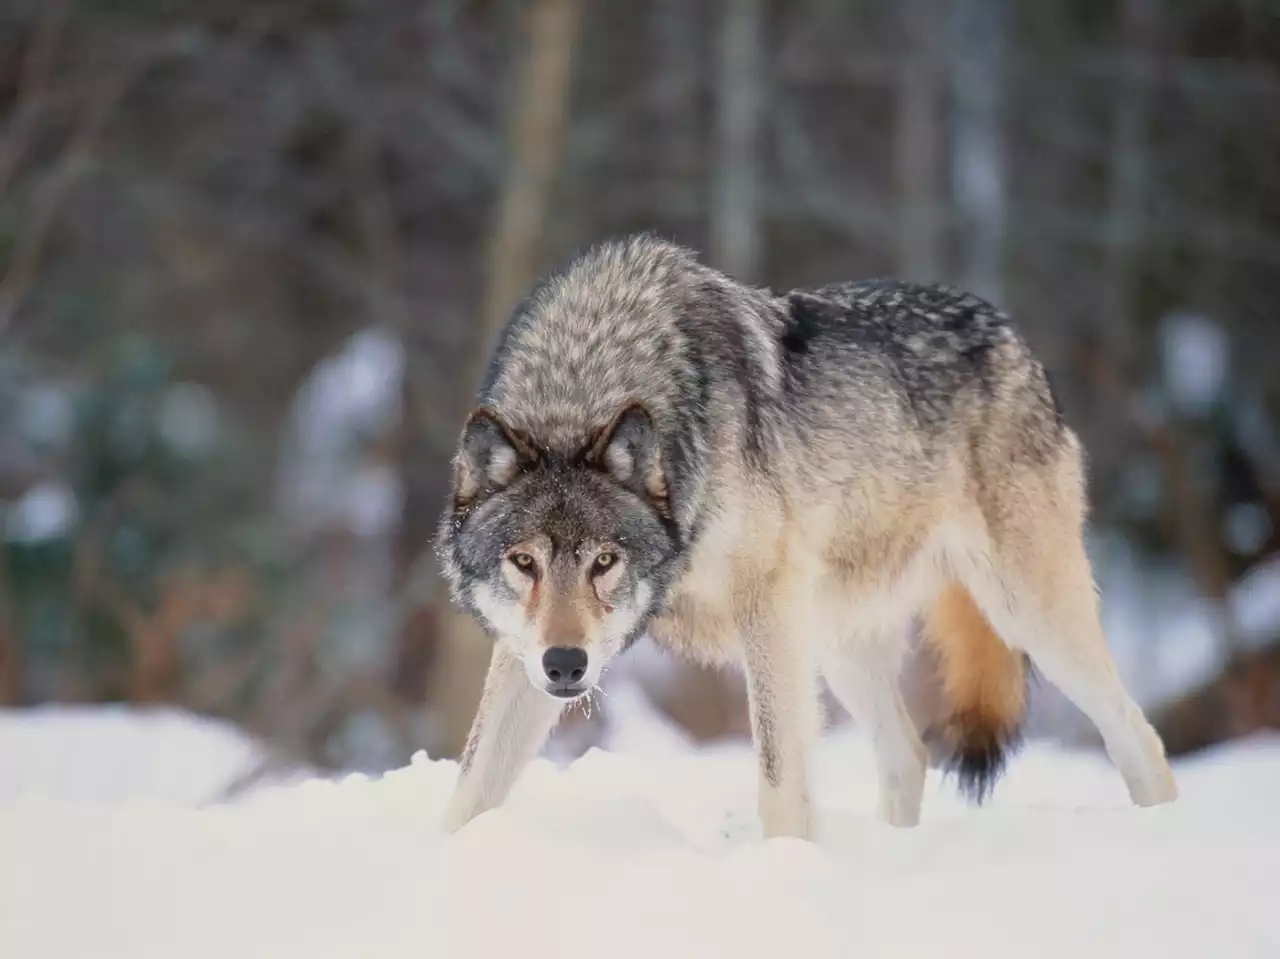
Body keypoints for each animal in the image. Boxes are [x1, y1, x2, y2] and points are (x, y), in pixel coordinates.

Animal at [437, 234, 1177, 839]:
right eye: (524, 562)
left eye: (604, 561)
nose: (566, 664)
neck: (589, 374)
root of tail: (1010, 332)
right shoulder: (521, 650)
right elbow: (471, 784)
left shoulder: (766, 606)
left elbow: (779, 777)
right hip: (839, 642)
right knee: (909, 757)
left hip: (1026, 615)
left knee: (1140, 736)